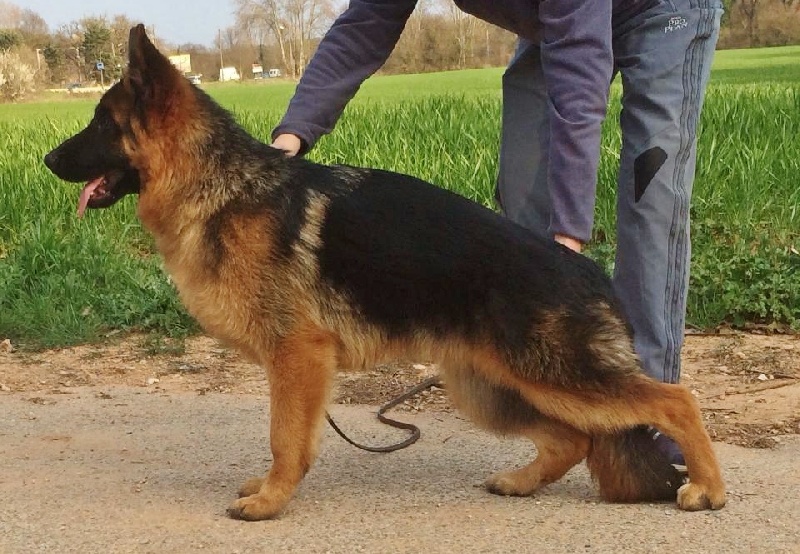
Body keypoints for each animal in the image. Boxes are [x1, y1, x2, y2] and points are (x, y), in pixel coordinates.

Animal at [44, 25, 725, 520]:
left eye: (100, 124)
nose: (46, 160)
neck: (223, 186)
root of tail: (585, 269)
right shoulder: (298, 365)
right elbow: (288, 439)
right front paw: (270, 489)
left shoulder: (297, 357)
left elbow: (285, 438)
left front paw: (270, 500)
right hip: (491, 385)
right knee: (573, 439)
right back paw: (521, 480)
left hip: (553, 375)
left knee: (675, 401)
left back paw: (708, 489)